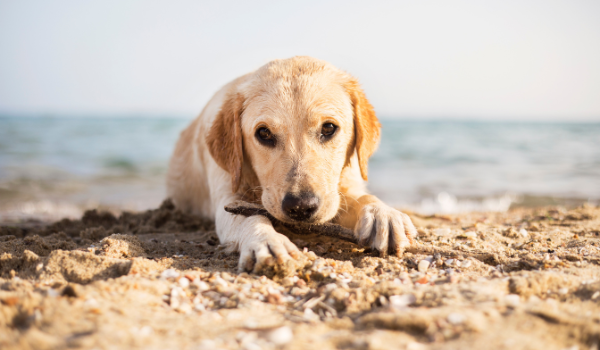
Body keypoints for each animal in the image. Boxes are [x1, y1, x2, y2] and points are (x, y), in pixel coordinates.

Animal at [166, 56, 414, 272]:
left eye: (328, 128)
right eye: (264, 133)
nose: (301, 206)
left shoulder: (345, 184)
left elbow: (362, 197)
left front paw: (383, 214)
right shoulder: (227, 197)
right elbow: (251, 217)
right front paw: (266, 241)